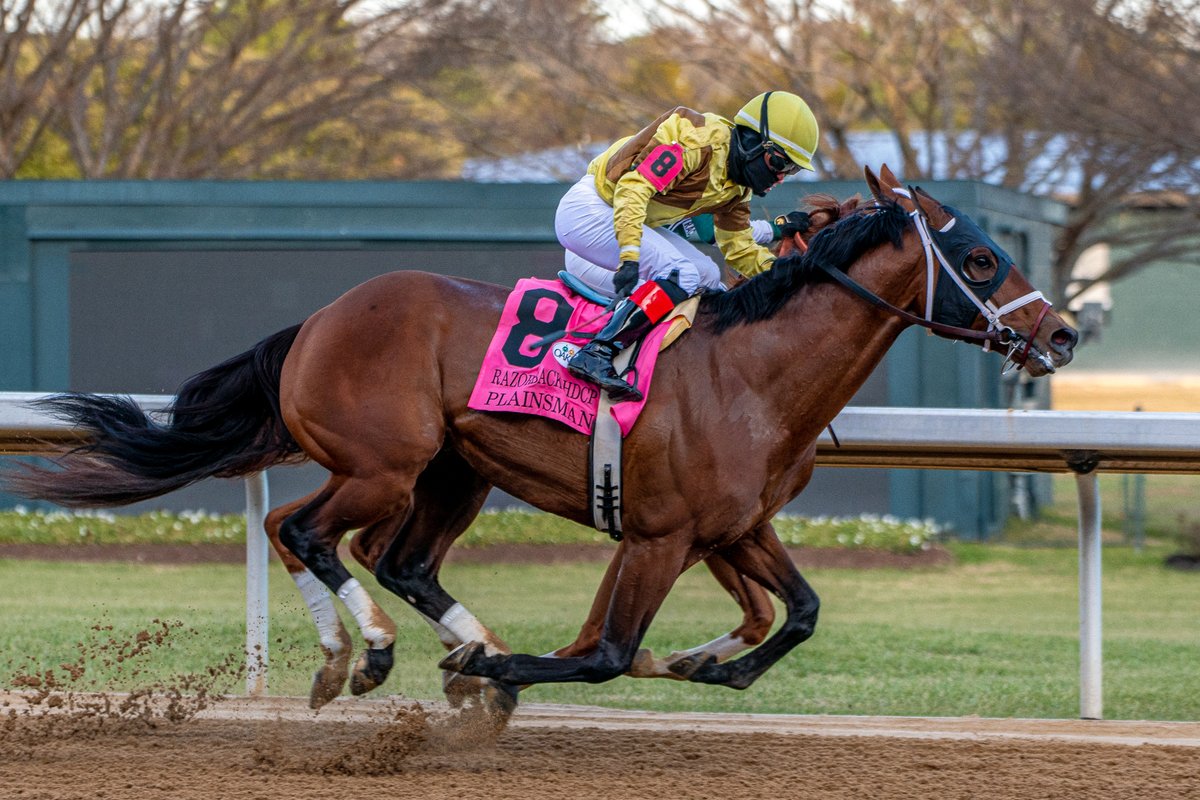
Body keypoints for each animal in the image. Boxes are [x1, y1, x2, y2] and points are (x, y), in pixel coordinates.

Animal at [4, 165, 1080, 724]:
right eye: (982, 257)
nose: (1063, 334)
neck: (755, 371)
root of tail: (318, 318)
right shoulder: (659, 535)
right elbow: (605, 651)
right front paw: (511, 670)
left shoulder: (734, 525)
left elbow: (803, 609)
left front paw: (714, 666)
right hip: (383, 463)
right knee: (302, 531)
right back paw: (369, 654)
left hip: (456, 472)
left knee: (397, 559)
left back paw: (441, 646)